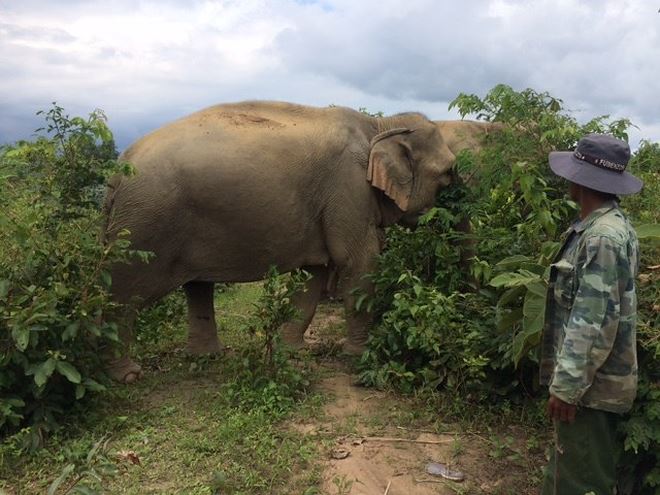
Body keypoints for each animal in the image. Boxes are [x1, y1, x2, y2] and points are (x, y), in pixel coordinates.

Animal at [100, 101, 498, 384]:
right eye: (447, 173)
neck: (379, 127)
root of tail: (118, 170)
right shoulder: (347, 188)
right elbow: (360, 261)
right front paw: (359, 356)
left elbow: (312, 276)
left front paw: (292, 351)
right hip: (144, 225)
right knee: (122, 294)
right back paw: (128, 375)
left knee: (198, 286)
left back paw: (208, 358)